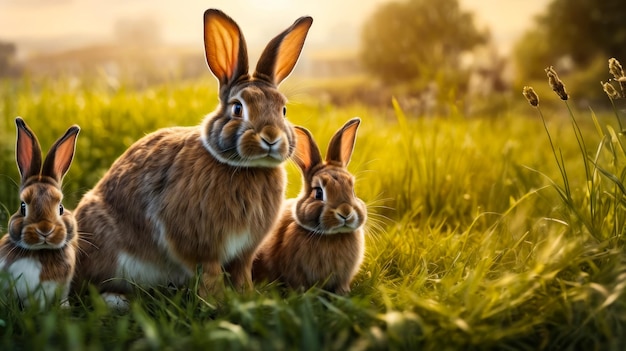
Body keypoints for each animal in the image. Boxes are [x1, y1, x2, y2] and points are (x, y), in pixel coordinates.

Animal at [71, 6, 312, 306]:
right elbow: (209, 272)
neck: (245, 168)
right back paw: (116, 300)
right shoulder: (198, 243)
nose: (271, 137)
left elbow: (241, 271)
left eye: (283, 110)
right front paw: (216, 302)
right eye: (237, 108)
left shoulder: (244, 251)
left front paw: (247, 297)